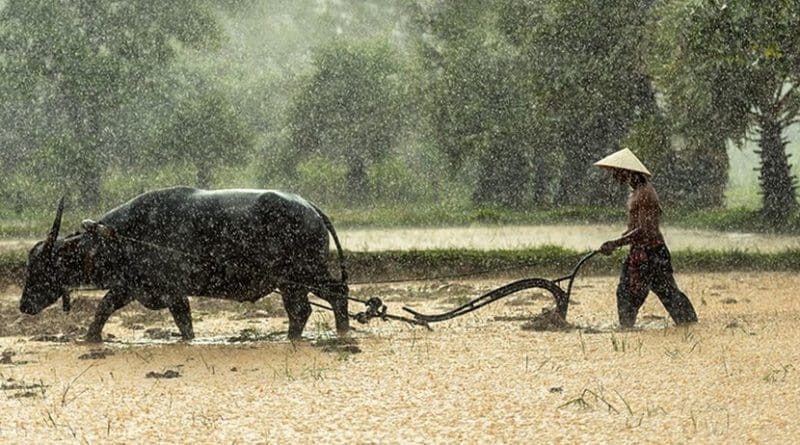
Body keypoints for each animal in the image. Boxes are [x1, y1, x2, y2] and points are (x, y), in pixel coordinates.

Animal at [18, 186, 348, 342]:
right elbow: (103, 308)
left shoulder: (173, 291)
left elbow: (184, 324)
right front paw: (89, 339)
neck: (125, 236)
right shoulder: (130, 287)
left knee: (337, 293)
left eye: (43, 267)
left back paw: (341, 331)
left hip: (307, 272)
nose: (23, 305)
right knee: (302, 310)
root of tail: (310, 207)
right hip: (291, 283)